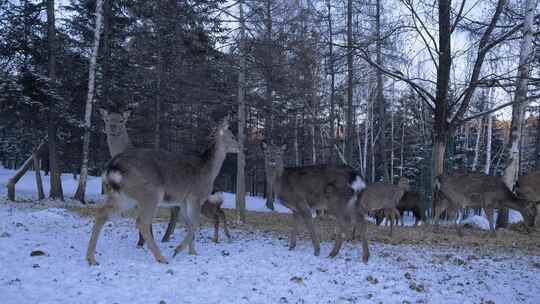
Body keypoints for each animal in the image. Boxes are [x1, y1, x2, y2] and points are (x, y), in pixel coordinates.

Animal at [86, 117, 238, 264]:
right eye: (232, 135)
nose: (239, 147)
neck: (208, 170)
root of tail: (112, 167)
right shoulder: (194, 196)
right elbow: (195, 224)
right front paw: (178, 250)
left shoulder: (182, 200)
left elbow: (189, 224)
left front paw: (193, 252)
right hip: (149, 193)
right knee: (142, 222)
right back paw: (162, 258)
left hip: (123, 196)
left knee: (101, 213)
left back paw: (91, 259)